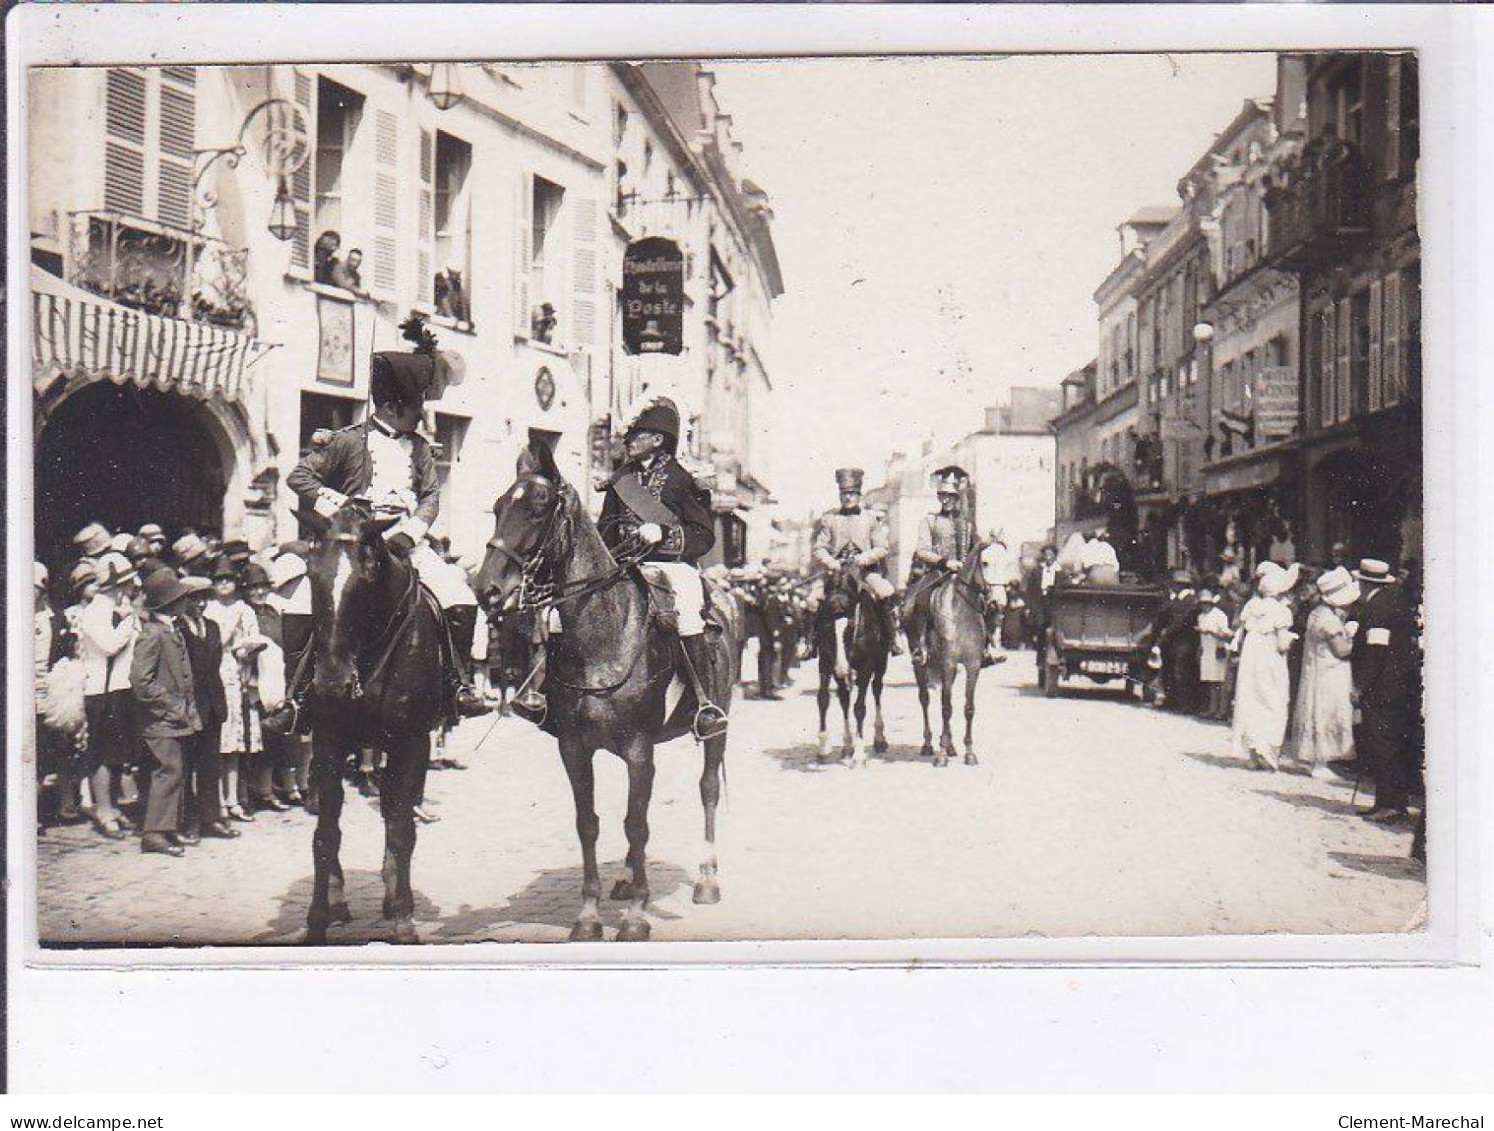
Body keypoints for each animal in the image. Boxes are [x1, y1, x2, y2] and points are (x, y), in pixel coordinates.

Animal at [301, 499, 442, 938]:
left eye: (366, 577)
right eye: (312, 574)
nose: (332, 684)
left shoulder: (411, 743)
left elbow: (401, 829)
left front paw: (404, 918)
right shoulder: (327, 742)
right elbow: (325, 834)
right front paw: (318, 917)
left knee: (393, 811)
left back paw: (393, 892)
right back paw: (339, 899)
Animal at [475, 436, 738, 938]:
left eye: (537, 509)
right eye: (497, 507)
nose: (487, 590)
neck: (603, 634)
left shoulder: (639, 748)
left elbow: (637, 824)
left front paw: (636, 916)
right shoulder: (575, 748)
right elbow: (590, 823)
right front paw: (589, 915)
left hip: (715, 728)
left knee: (708, 788)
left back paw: (708, 879)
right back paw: (627, 877)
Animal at [818, 555, 884, 764]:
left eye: (851, 627)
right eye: (827, 628)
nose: (840, 669)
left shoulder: (865, 667)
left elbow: (860, 708)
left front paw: (860, 752)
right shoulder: (825, 661)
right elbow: (823, 699)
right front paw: (823, 747)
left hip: (880, 663)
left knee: (877, 689)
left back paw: (879, 739)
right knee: (844, 699)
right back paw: (847, 746)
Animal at [902, 549, 986, 761]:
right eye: (986, 562)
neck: (960, 612)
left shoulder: (973, 665)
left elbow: (968, 708)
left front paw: (969, 753)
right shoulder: (949, 663)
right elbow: (946, 708)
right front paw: (941, 756)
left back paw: (950, 746)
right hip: (920, 664)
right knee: (925, 698)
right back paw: (928, 745)